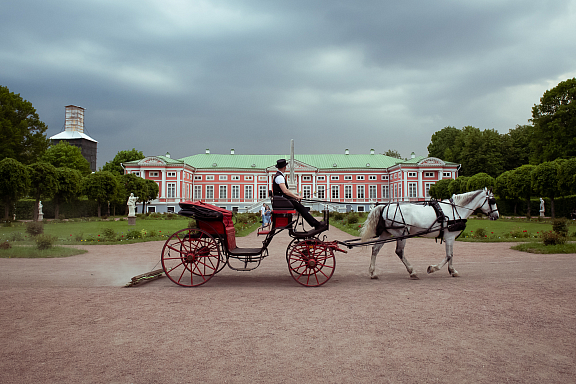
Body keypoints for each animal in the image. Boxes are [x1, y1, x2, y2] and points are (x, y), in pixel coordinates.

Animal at [360, 188, 500, 280]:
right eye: (492, 201)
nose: (497, 216)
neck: (455, 210)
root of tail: (384, 206)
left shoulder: (449, 238)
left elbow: (451, 255)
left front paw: (452, 271)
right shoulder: (450, 237)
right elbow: (449, 255)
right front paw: (433, 268)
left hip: (386, 234)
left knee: (375, 249)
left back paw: (372, 273)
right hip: (401, 234)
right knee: (399, 252)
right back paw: (412, 272)